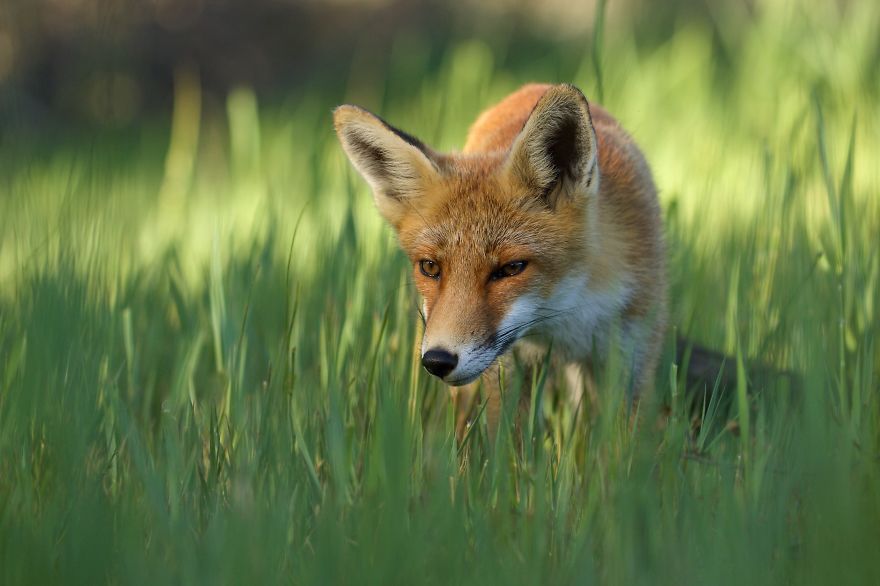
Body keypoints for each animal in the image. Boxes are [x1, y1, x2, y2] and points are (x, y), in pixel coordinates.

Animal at [333, 83, 668, 436]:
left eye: (511, 268)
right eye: (430, 267)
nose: (438, 361)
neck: (566, 317)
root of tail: (533, 86)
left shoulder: (631, 358)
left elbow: (622, 445)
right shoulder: (507, 369)